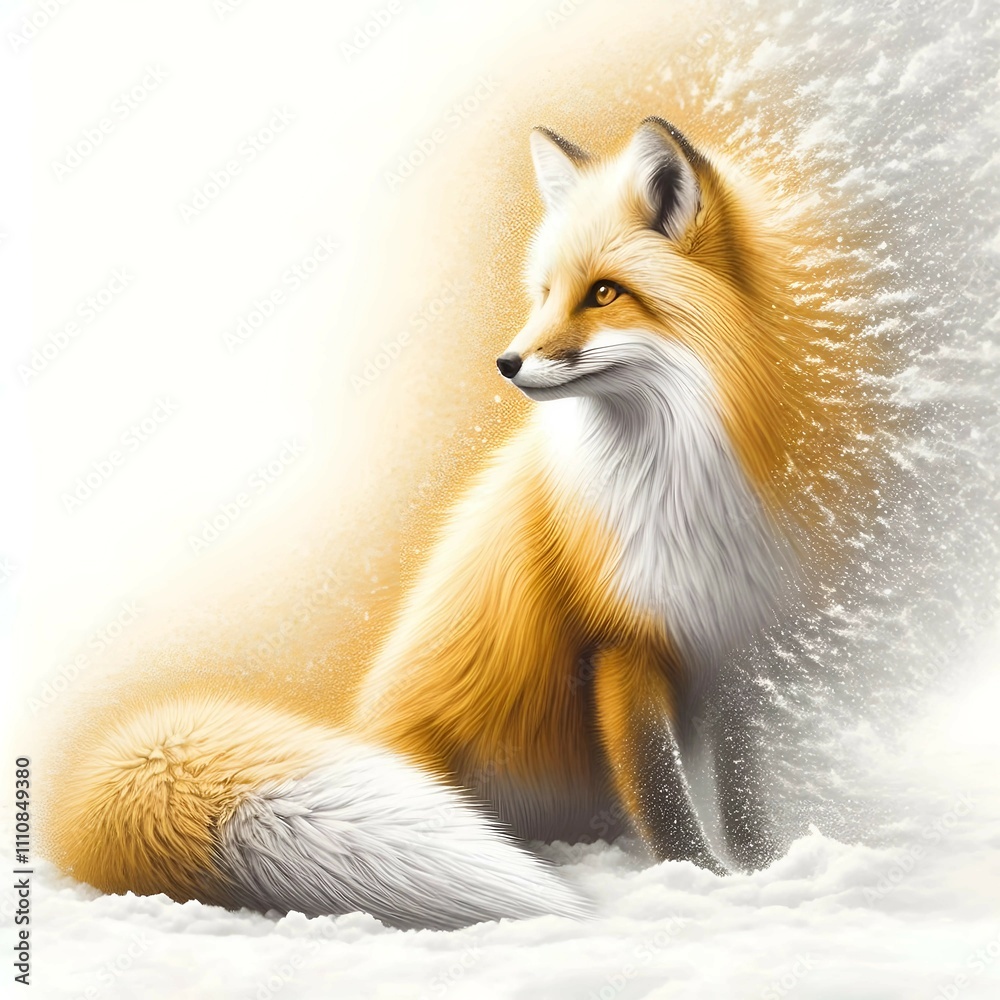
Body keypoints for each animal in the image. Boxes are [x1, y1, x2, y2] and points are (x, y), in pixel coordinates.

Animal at [50, 117, 851, 930]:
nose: (506, 362)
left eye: (603, 293)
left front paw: (761, 870)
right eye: (544, 294)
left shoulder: (736, 645)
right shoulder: (620, 644)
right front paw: (705, 883)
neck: (682, 482)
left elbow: (743, 794)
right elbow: (662, 797)